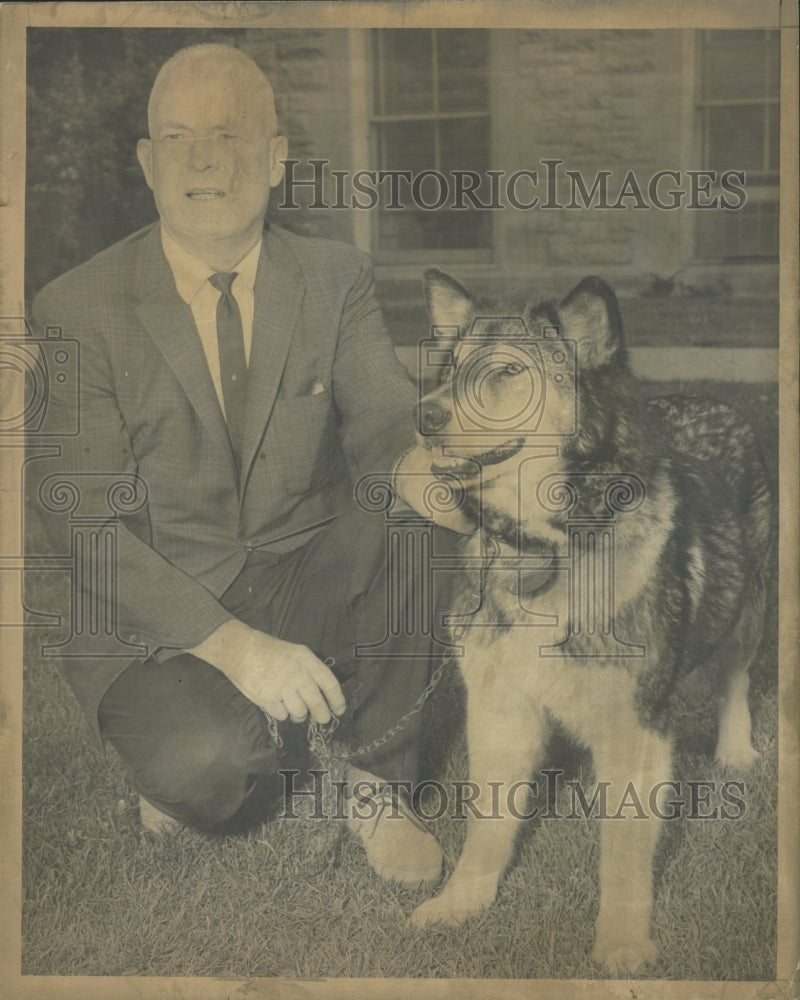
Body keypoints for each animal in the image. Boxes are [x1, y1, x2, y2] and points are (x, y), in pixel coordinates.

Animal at [410, 270, 772, 972]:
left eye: (506, 371)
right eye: (448, 369)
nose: (424, 415)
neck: (542, 548)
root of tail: (711, 398)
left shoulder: (636, 725)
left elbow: (625, 849)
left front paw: (623, 942)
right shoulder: (497, 708)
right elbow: (485, 825)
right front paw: (462, 902)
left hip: (749, 605)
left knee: (733, 678)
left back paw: (736, 747)